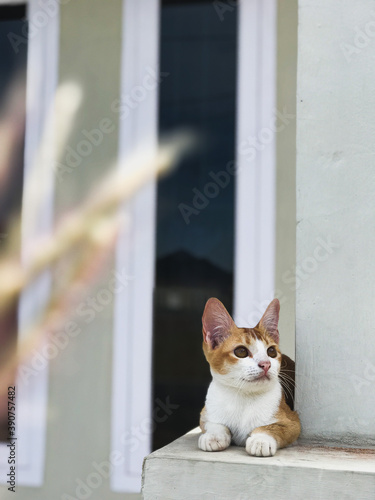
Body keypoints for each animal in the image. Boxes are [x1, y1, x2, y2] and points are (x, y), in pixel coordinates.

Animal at [198, 296, 302, 458]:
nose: (266, 364)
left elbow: (272, 427)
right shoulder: (206, 413)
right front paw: (213, 435)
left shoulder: (293, 421)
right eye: (241, 351)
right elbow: (213, 423)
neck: (244, 396)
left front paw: (261, 440)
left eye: (271, 351)